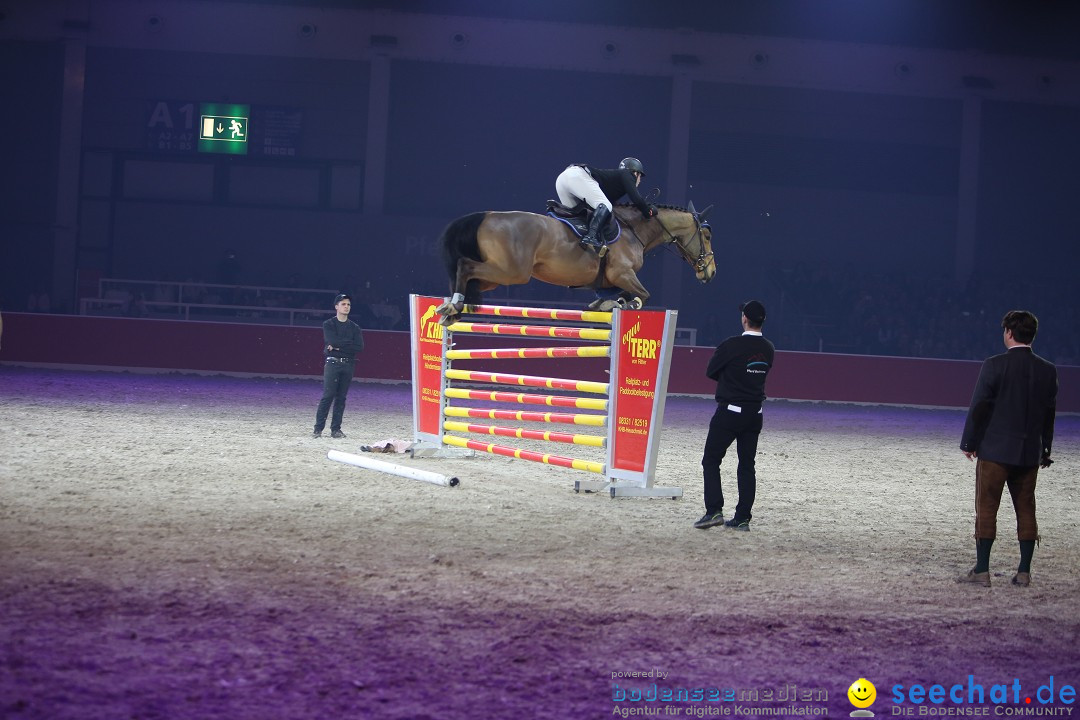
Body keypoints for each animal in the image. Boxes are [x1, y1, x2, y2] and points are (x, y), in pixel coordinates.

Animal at [434, 204, 712, 325]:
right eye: (707, 236)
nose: (710, 272)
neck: (635, 230)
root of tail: (486, 216)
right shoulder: (622, 272)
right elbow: (643, 294)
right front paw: (624, 304)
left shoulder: (613, 279)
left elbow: (616, 293)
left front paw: (606, 303)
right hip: (511, 272)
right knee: (465, 266)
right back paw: (453, 305)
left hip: (496, 277)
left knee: (468, 276)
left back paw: (452, 308)